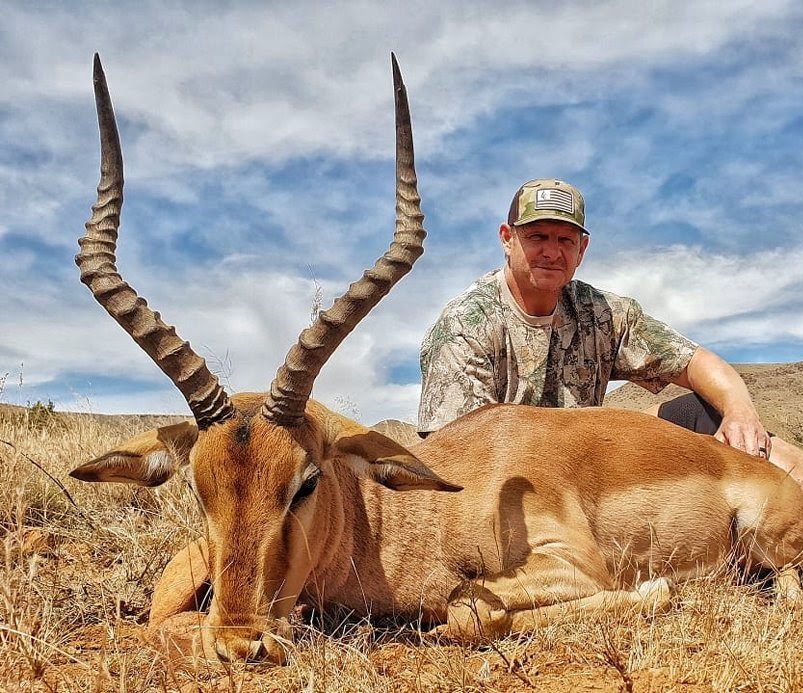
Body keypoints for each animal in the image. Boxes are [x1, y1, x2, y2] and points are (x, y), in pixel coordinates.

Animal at [71, 55, 803, 666]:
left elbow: (469, 610)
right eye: (199, 486)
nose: (240, 641)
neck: (413, 515)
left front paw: (658, 589)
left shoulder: (571, 565)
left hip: (768, 540)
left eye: (305, 481)